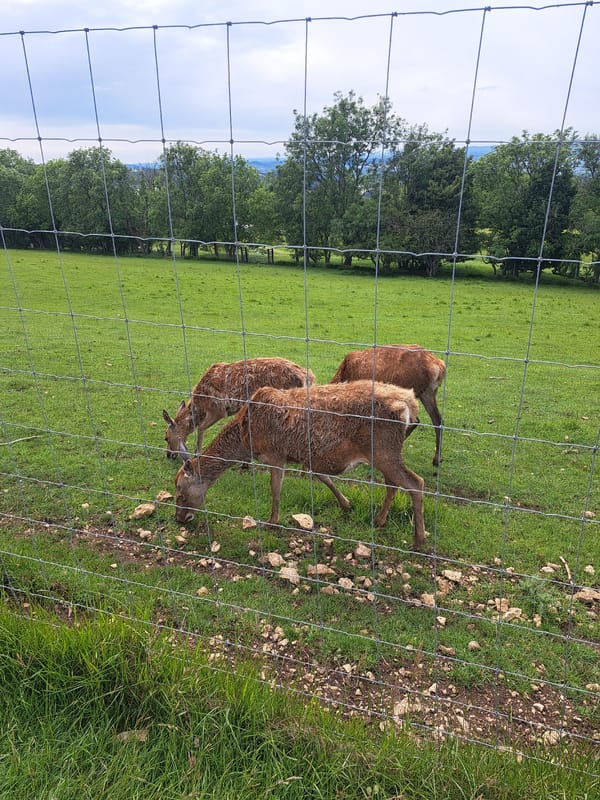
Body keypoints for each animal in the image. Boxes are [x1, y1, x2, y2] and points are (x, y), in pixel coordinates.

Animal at [162, 357, 315, 460]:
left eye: (166, 437)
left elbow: (200, 428)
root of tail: (308, 376)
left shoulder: (217, 409)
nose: (169, 455)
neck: (199, 405)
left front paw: (197, 454)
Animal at [174, 380, 426, 550]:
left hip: (383, 450)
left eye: (180, 491)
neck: (246, 439)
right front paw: (346, 503)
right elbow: (323, 477)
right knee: (393, 484)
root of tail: (410, 406)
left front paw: (271, 522)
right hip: (386, 453)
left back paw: (418, 540)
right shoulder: (307, 456)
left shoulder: (275, 454)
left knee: (416, 482)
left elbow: (275, 488)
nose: (179, 518)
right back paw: (379, 520)